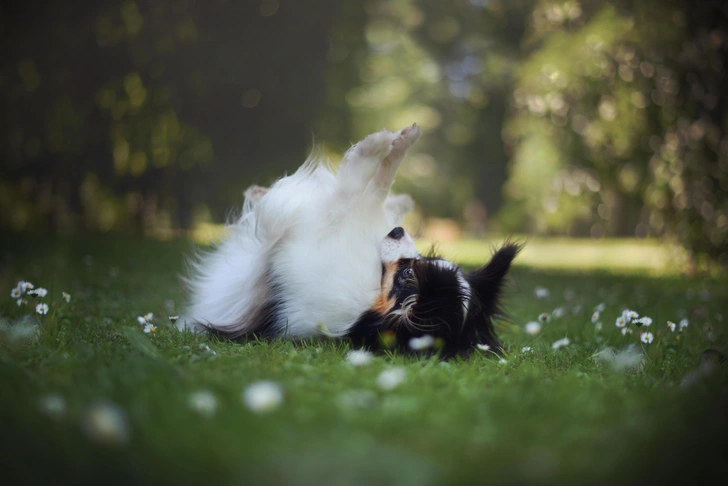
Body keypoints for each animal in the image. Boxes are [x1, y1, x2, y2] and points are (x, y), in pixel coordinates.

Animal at [185, 124, 520, 356]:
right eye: (423, 261)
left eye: (408, 274)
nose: (397, 231)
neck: (368, 310)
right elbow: (377, 186)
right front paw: (401, 143)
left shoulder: (321, 229)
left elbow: (354, 188)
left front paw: (375, 146)